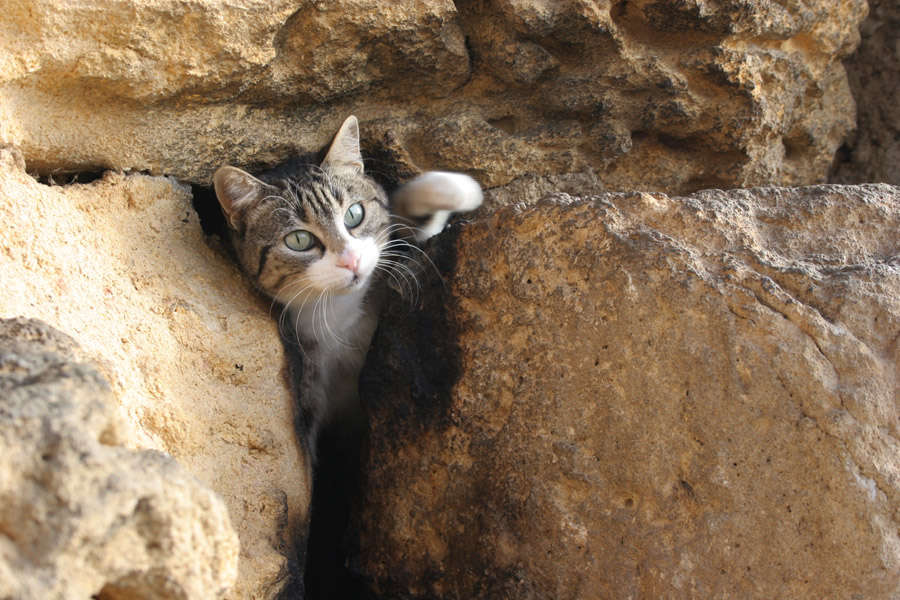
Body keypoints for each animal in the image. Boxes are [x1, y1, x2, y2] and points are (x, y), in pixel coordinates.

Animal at [211, 115, 482, 458]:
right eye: (298, 240)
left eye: (354, 214)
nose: (351, 260)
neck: (338, 314)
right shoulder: (309, 388)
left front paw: (459, 189)